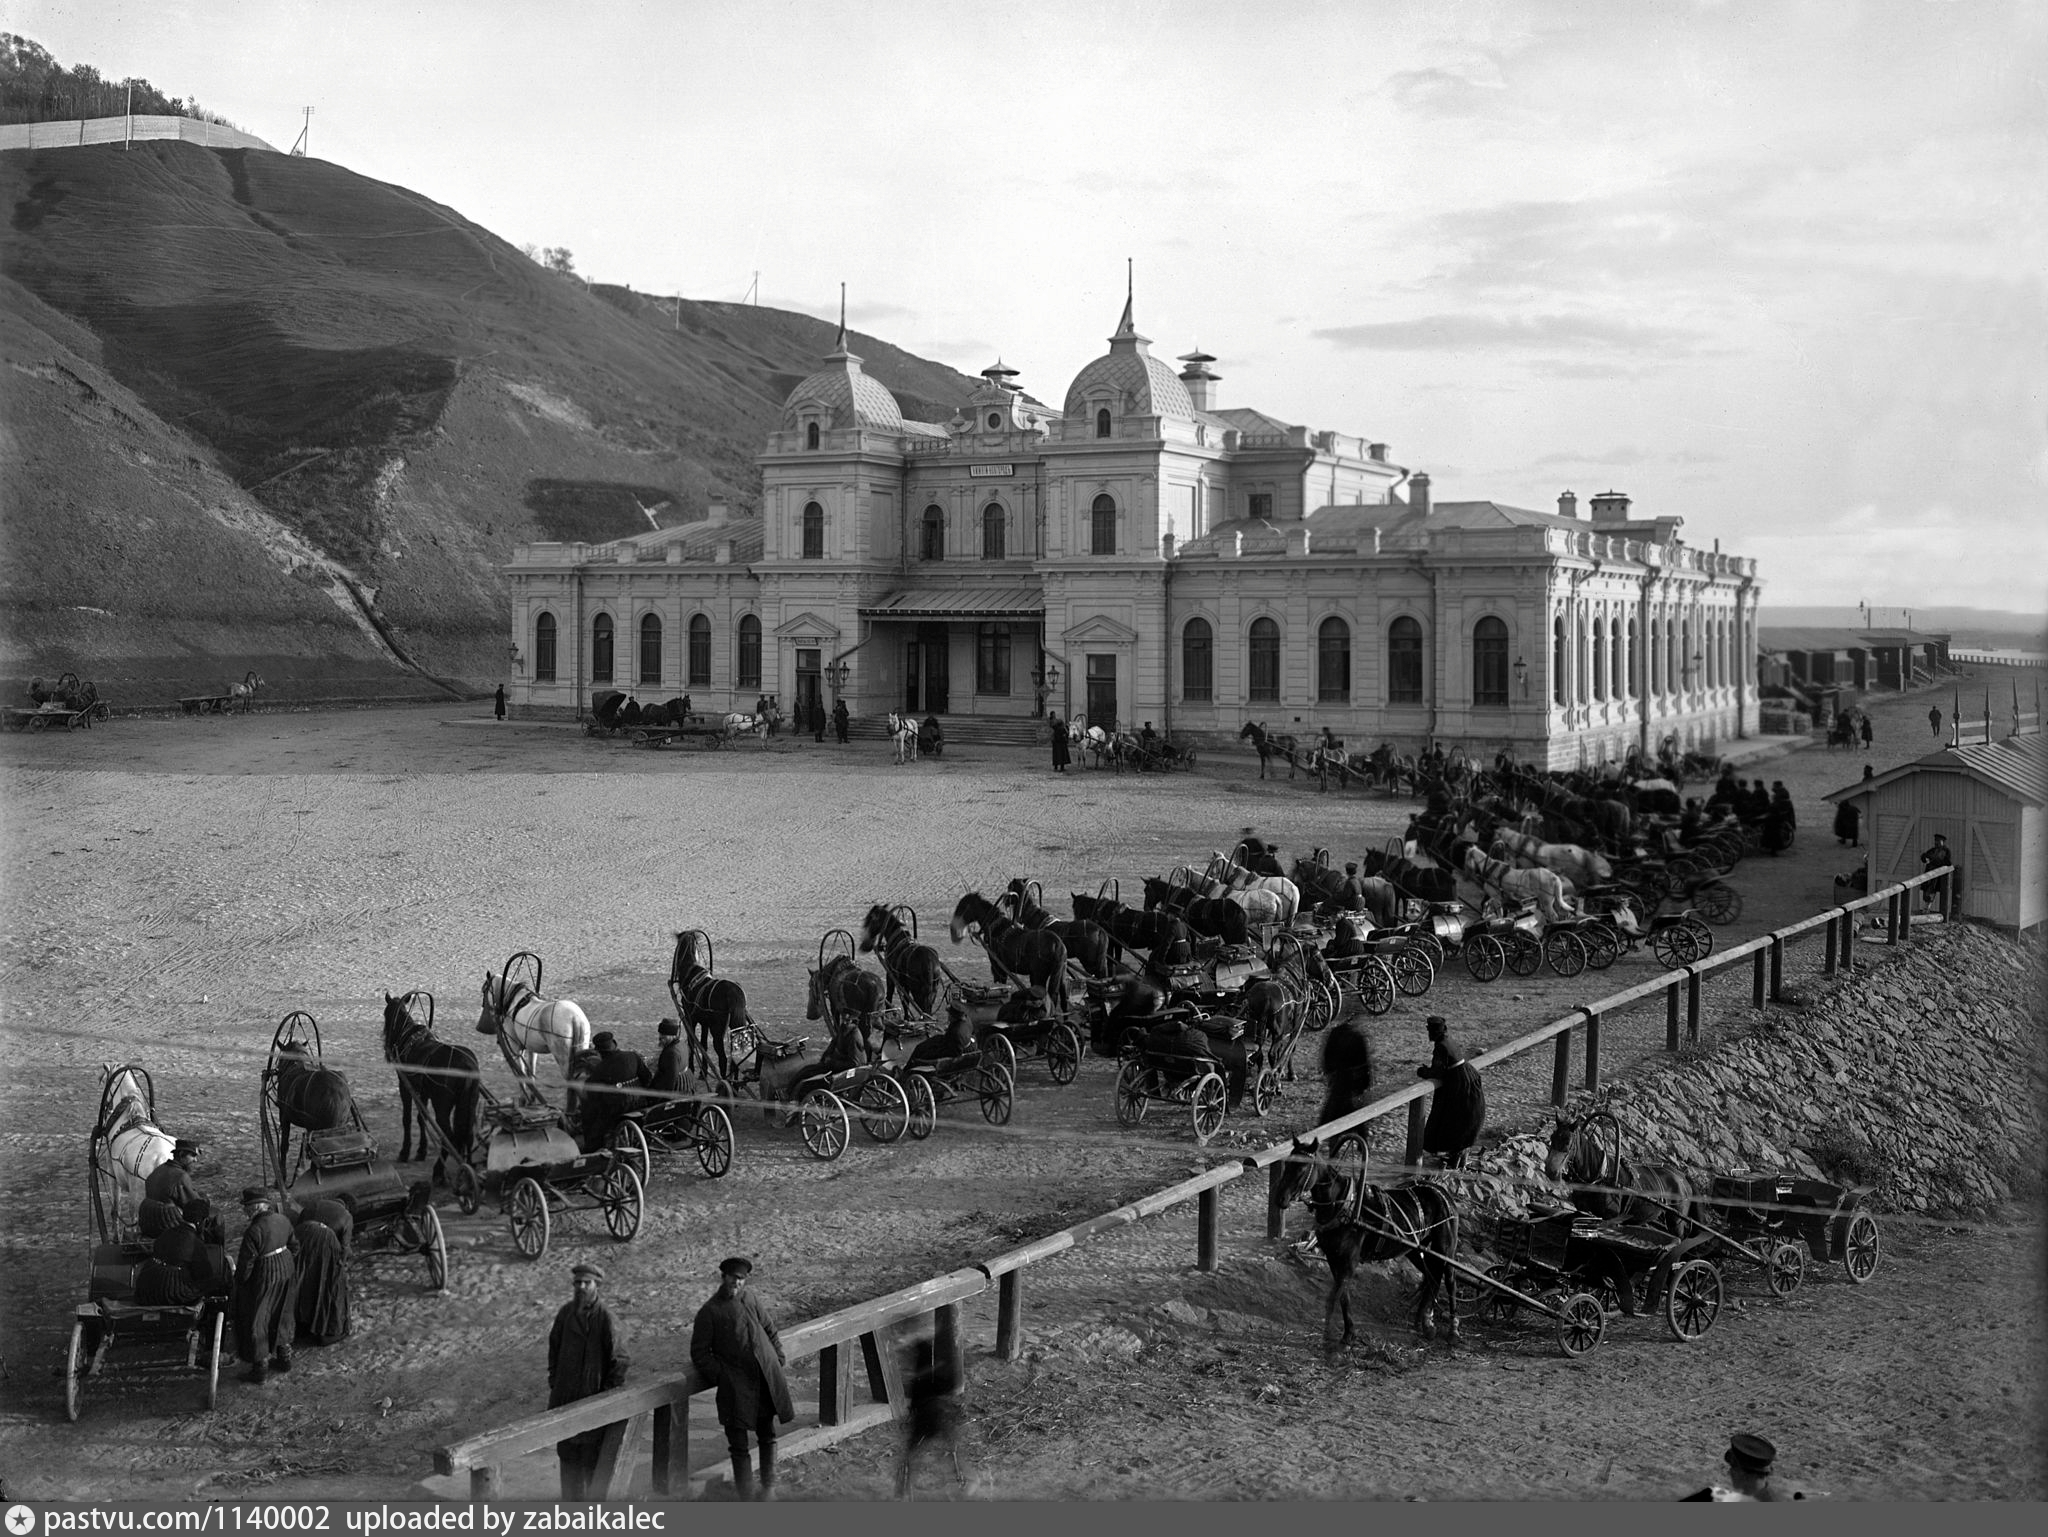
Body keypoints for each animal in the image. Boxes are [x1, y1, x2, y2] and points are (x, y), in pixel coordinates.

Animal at [95, 1073, 173, 1254]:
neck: (130, 1116)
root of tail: (161, 1159)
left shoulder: (111, 1171)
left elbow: (115, 1209)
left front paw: (115, 1238)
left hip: (137, 1199)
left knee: (135, 1225)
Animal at [382, 991, 481, 1188]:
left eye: (385, 1014)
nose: (386, 1045)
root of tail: (467, 1065)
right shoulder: (423, 1092)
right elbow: (422, 1119)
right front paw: (421, 1150)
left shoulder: (405, 1086)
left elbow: (407, 1119)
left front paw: (405, 1151)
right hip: (469, 1103)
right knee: (468, 1133)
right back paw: (468, 1167)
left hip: (442, 1106)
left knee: (450, 1136)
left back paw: (439, 1172)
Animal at [468, 967, 589, 1098]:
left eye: (484, 989)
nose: (483, 1005)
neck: (513, 1001)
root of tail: (575, 1018)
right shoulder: (531, 1047)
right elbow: (531, 1069)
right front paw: (532, 1095)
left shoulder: (515, 1046)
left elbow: (520, 1069)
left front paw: (524, 1097)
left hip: (562, 1057)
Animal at [671, 926, 753, 1082]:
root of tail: (733, 992)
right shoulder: (704, 1023)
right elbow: (703, 1044)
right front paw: (702, 1071)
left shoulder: (690, 1019)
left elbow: (692, 1042)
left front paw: (692, 1068)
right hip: (736, 1027)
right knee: (735, 1057)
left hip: (717, 1032)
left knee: (723, 1058)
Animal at [1277, 1131, 1458, 1344]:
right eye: (1287, 1163)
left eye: (1303, 1167)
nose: (1280, 1198)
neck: (1343, 1205)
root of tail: (1443, 1192)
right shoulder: (1333, 1258)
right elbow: (1342, 1294)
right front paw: (1344, 1333)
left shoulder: (1349, 1260)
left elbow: (1341, 1293)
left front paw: (1345, 1334)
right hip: (1414, 1248)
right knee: (1432, 1276)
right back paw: (1425, 1321)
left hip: (1446, 1248)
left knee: (1450, 1280)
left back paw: (1452, 1329)